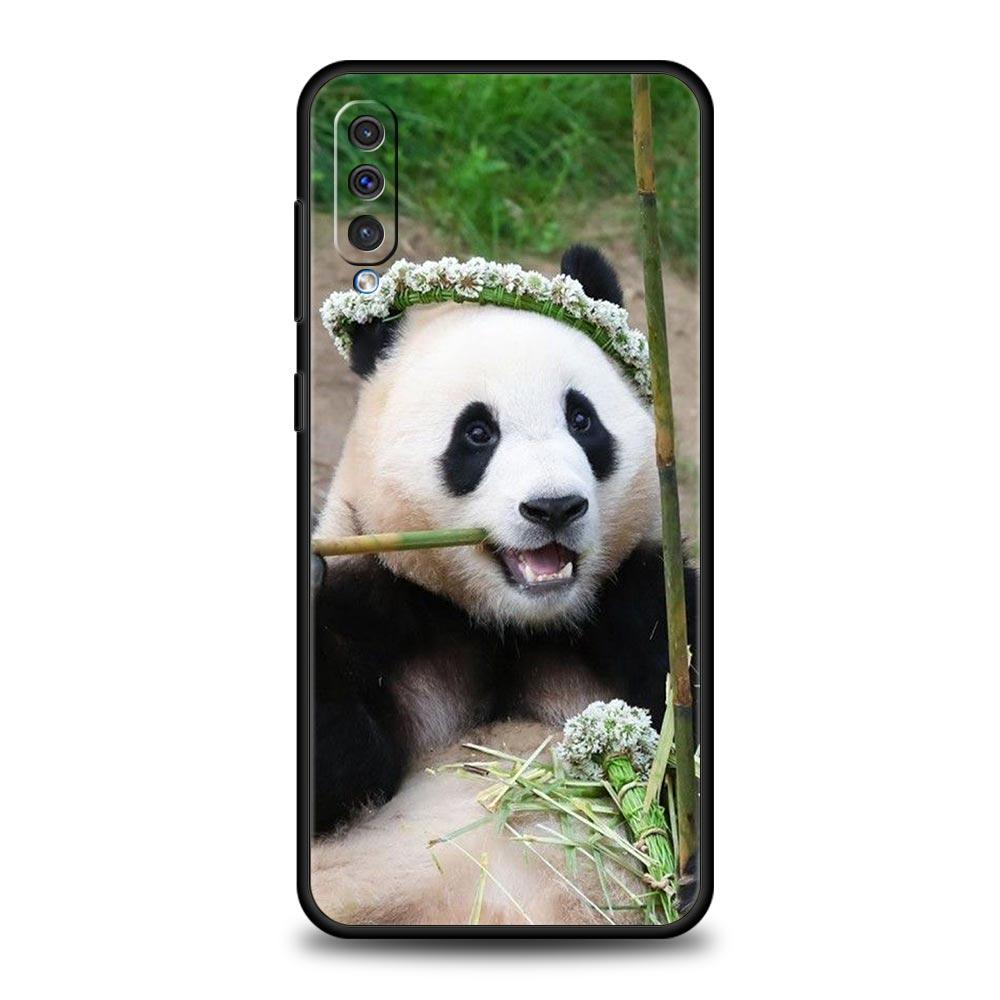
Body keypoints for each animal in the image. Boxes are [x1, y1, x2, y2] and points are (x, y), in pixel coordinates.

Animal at [310, 246, 698, 926]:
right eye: (477, 433)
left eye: (582, 419)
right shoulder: (377, 599)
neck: (510, 625)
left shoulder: (647, 601)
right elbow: (347, 776)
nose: (554, 508)